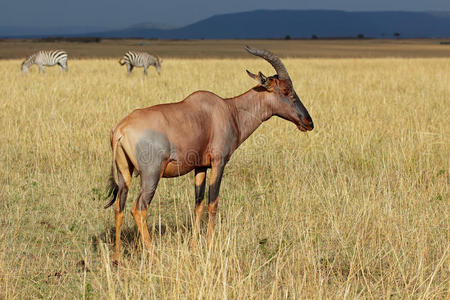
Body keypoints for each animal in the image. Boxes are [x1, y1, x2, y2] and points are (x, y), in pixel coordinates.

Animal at [106, 45, 312, 262]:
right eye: (286, 90)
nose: (308, 122)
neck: (228, 109)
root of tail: (120, 130)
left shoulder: (200, 167)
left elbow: (199, 203)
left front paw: (194, 246)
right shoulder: (218, 162)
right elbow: (213, 202)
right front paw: (210, 245)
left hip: (124, 174)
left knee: (119, 207)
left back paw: (117, 257)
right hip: (151, 176)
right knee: (138, 209)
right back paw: (154, 255)